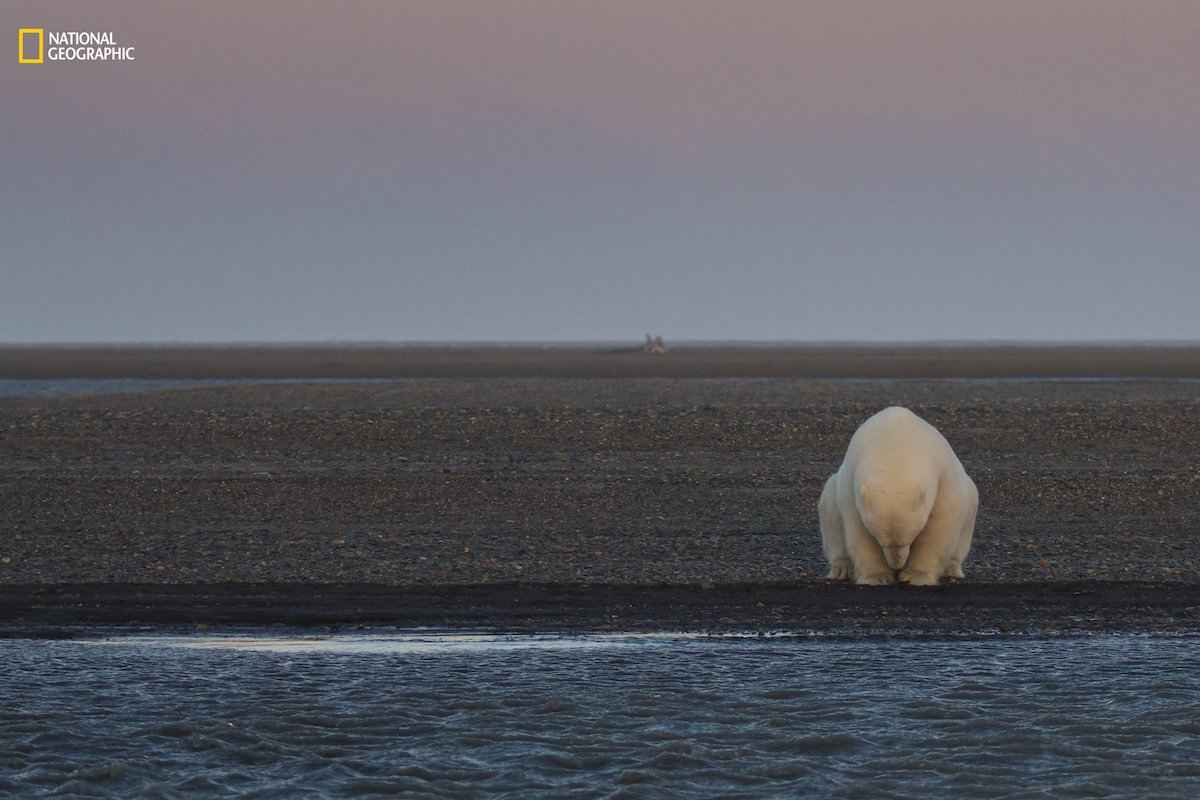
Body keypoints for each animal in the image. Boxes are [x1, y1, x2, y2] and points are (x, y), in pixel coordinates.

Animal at [820, 410, 979, 585]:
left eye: (909, 539)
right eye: (881, 541)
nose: (896, 566)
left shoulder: (943, 477)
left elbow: (938, 527)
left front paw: (916, 576)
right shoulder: (851, 486)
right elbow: (859, 532)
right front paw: (876, 577)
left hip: (970, 499)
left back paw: (951, 569)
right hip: (832, 492)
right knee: (830, 513)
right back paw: (841, 569)